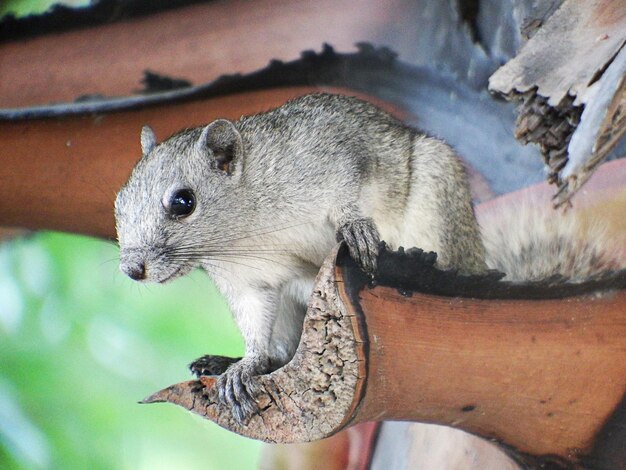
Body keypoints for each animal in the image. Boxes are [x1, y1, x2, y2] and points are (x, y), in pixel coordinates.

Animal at [113, 92, 620, 422]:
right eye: (118, 203)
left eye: (183, 202)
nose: (132, 269)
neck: (245, 232)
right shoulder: (247, 282)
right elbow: (258, 331)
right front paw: (245, 366)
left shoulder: (326, 162)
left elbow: (347, 196)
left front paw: (355, 226)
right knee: (283, 351)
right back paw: (223, 363)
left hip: (438, 194)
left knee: (454, 269)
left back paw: (423, 262)